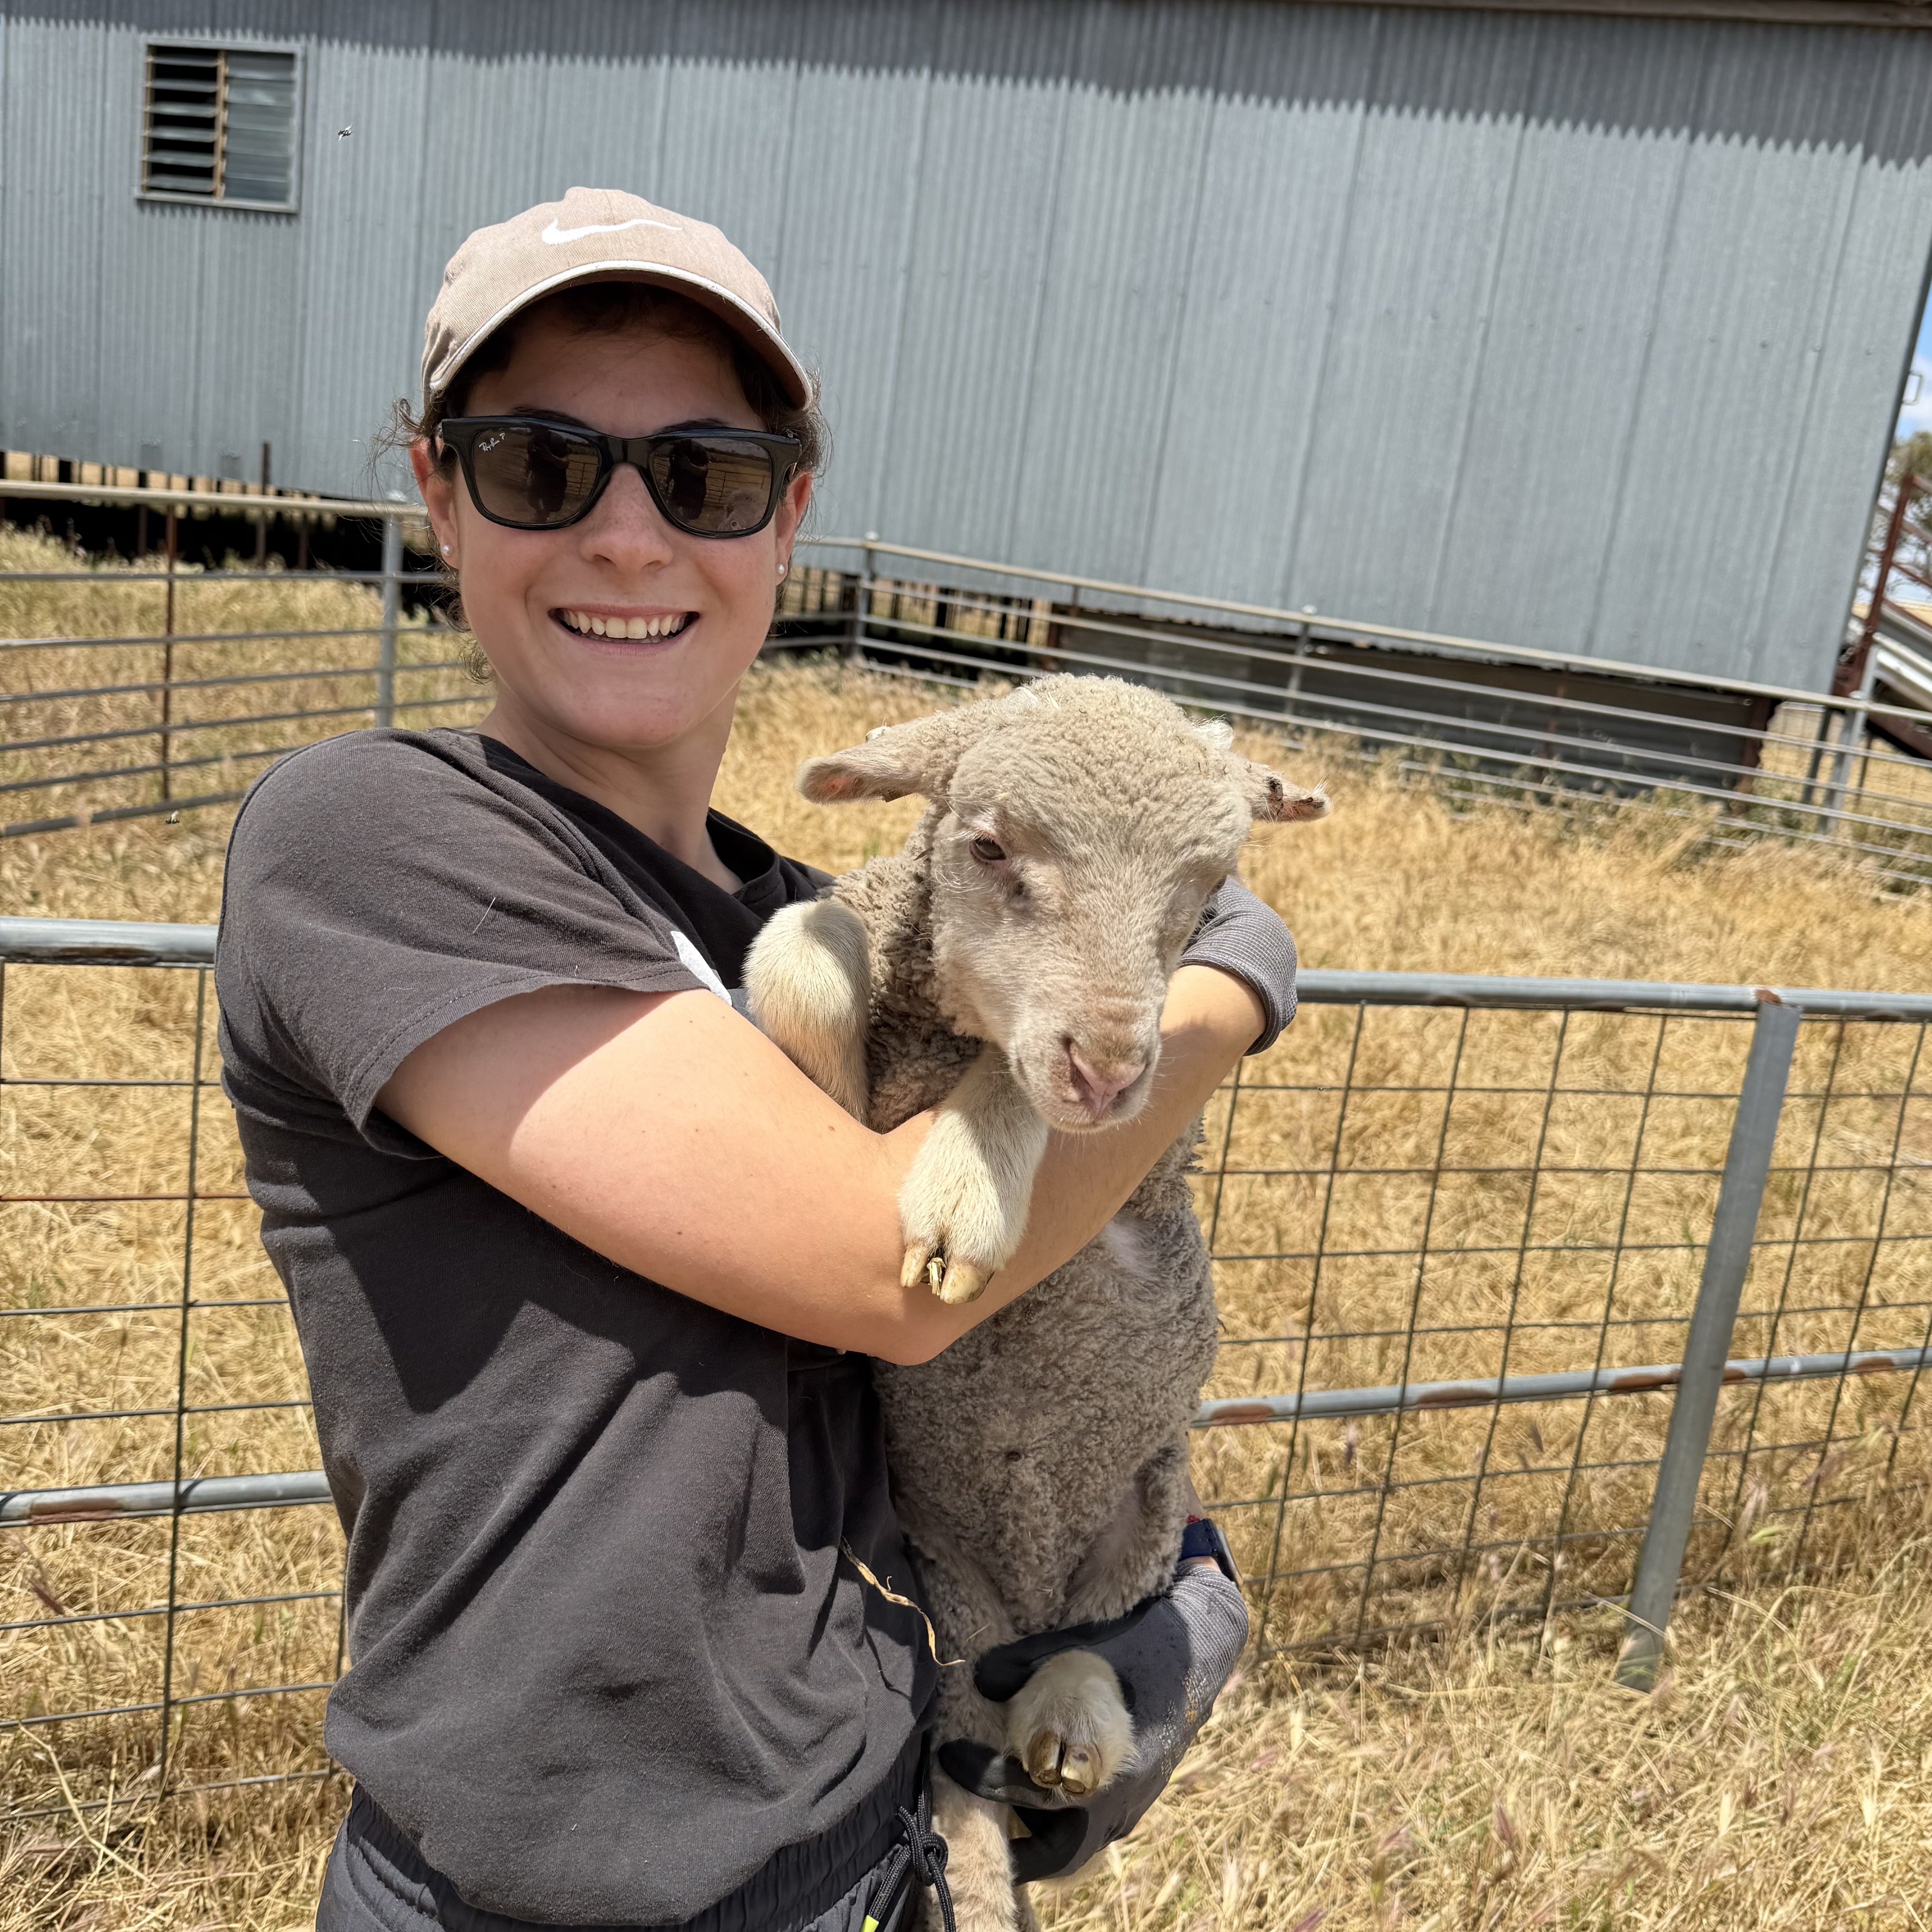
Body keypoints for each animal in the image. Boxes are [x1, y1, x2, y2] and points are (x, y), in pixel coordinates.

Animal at [744, 676, 1328, 1932]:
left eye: (1209, 885)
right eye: (988, 846)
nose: (1111, 1071)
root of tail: (1021, 1599)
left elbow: (1009, 1079)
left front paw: (962, 1199)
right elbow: (802, 945)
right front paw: (822, 1076)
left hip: (1143, 1510)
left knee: (1100, 1641)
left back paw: (1073, 1717)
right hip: (947, 1595)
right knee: (960, 1784)